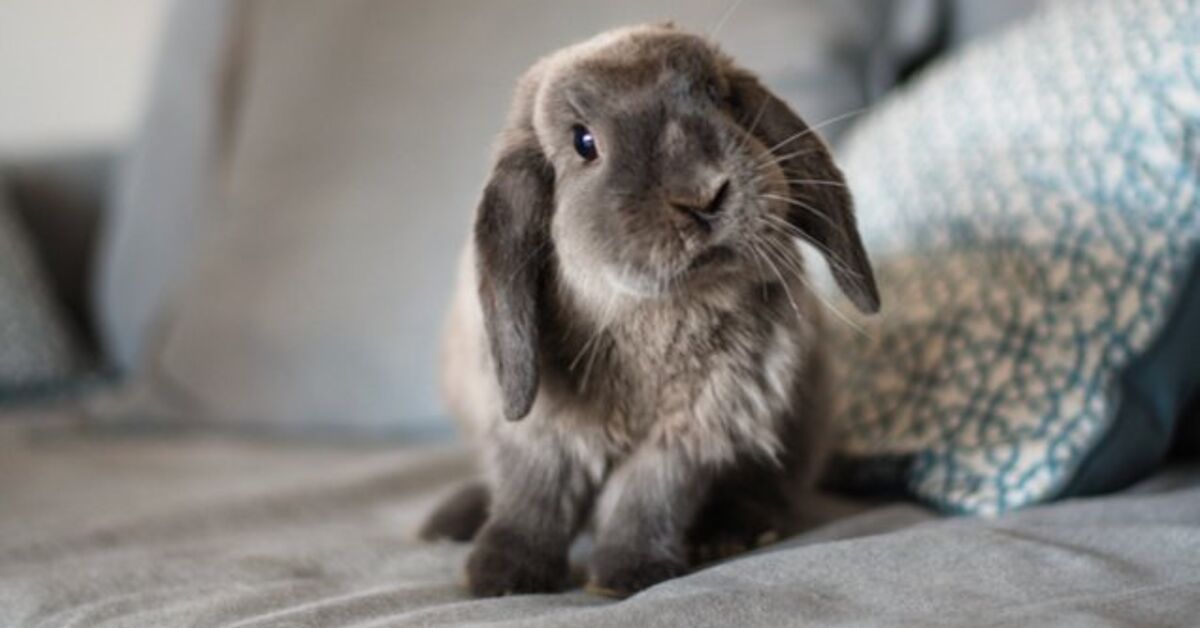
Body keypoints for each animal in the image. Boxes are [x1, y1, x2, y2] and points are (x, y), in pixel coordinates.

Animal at [420, 23, 880, 598]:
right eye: (583, 142)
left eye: (722, 98)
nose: (703, 194)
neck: (653, 314)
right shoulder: (540, 430)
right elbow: (534, 495)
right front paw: (500, 577)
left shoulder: (691, 432)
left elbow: (647, 498)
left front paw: (627, 576)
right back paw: (450, 522)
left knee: (769, 490)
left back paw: (732, 533)